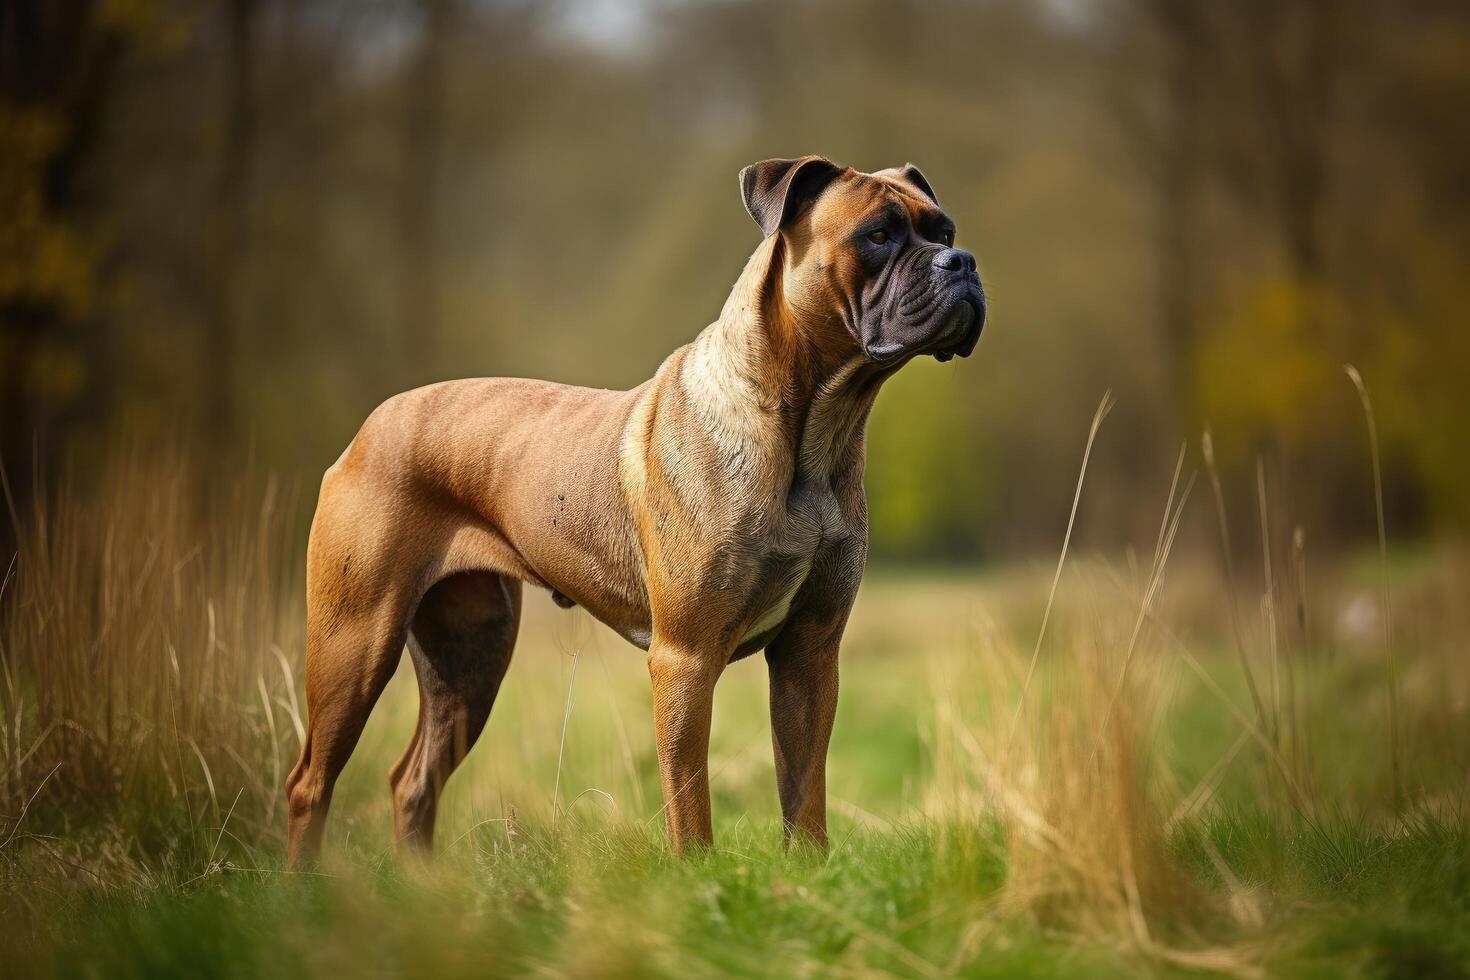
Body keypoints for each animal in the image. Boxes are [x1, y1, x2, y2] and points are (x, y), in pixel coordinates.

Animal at [280, 155, 981, 863]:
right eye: (877, 236)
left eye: (944, 229)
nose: (963, 261)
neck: (815, 427)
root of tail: (366, 430)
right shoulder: (685, 659)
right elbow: (690, 797)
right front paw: (697, 875)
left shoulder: (810, 652)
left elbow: (804, 790)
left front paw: (808, 872)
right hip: (356, 642)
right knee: (310, 781)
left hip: (469, 661)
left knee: (413, 780)